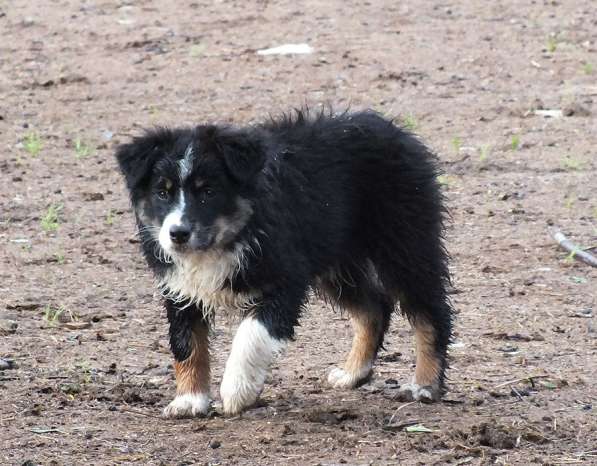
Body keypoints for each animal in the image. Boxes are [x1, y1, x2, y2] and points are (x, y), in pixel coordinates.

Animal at [115, 110, 452, 418]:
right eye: (162, 192)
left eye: (208, 192)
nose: (178, 234)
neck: (232, 235)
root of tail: (395, 129)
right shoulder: (180, 289)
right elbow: (186, 343)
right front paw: (189, 400)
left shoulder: (284, 279)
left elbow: (252, 335)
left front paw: (237, 390)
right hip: (336, 260)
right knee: (375, 308)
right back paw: (352, 373)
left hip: (404, 242)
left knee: (430, 312)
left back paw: (424, 385)